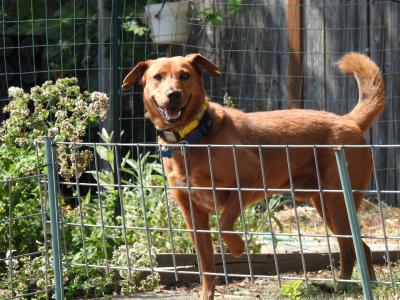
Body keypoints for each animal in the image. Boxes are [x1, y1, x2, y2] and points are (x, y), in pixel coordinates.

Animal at [122, 52, 384, 298]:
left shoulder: (250, 180)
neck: (194, 137)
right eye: (158, 77)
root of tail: (349, 121)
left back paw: (346, 286)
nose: (173, 94)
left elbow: (224, 224)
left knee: (351, 247)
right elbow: (206, 266)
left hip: (337, 201)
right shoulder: (193, 215)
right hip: (326, 205)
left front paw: (238, 247)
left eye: (184, 75)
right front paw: (207, 295)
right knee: (358, 247)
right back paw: (361, 285)